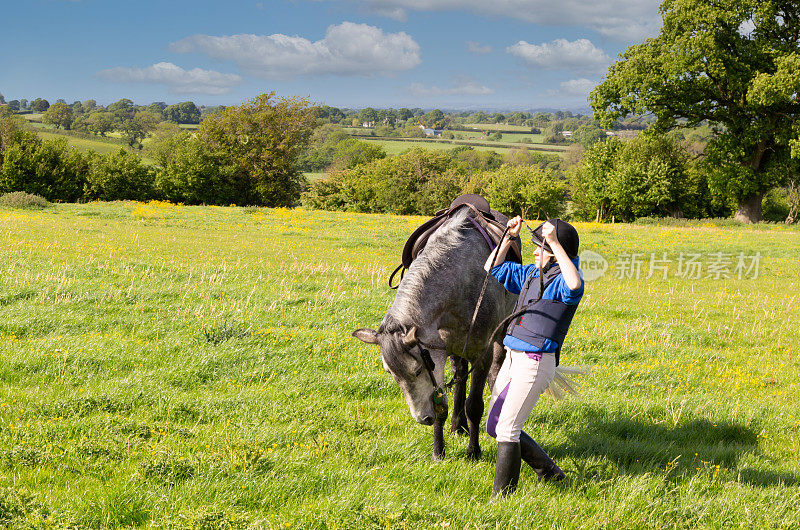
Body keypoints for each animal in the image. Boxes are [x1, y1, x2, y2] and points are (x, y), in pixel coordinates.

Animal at [354, 208, 516, 460]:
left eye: (418, 370)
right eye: (391, 374)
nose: (423, 419)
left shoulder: (481, 353)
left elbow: (474, 405)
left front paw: (473, 452)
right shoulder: (441, 351)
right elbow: (442, 405)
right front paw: (438, 452)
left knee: (495, 371)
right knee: (460, 374)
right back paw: (457, 424)